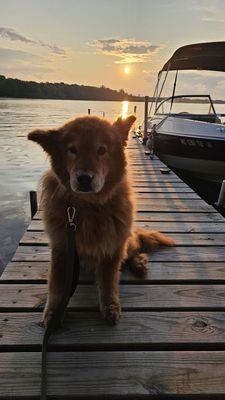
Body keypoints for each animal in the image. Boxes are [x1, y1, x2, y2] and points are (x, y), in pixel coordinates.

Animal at [28, 114, 174, 326]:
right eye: (72, 150)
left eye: (101, 150)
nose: (84, 178)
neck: (88, 206)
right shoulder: (62, 247)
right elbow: (56, 285)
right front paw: (54, 313)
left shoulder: (112, 247)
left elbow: (108, 282)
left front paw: (110, 306)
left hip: (125, 239)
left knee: (134, 248)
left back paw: (139, 264)